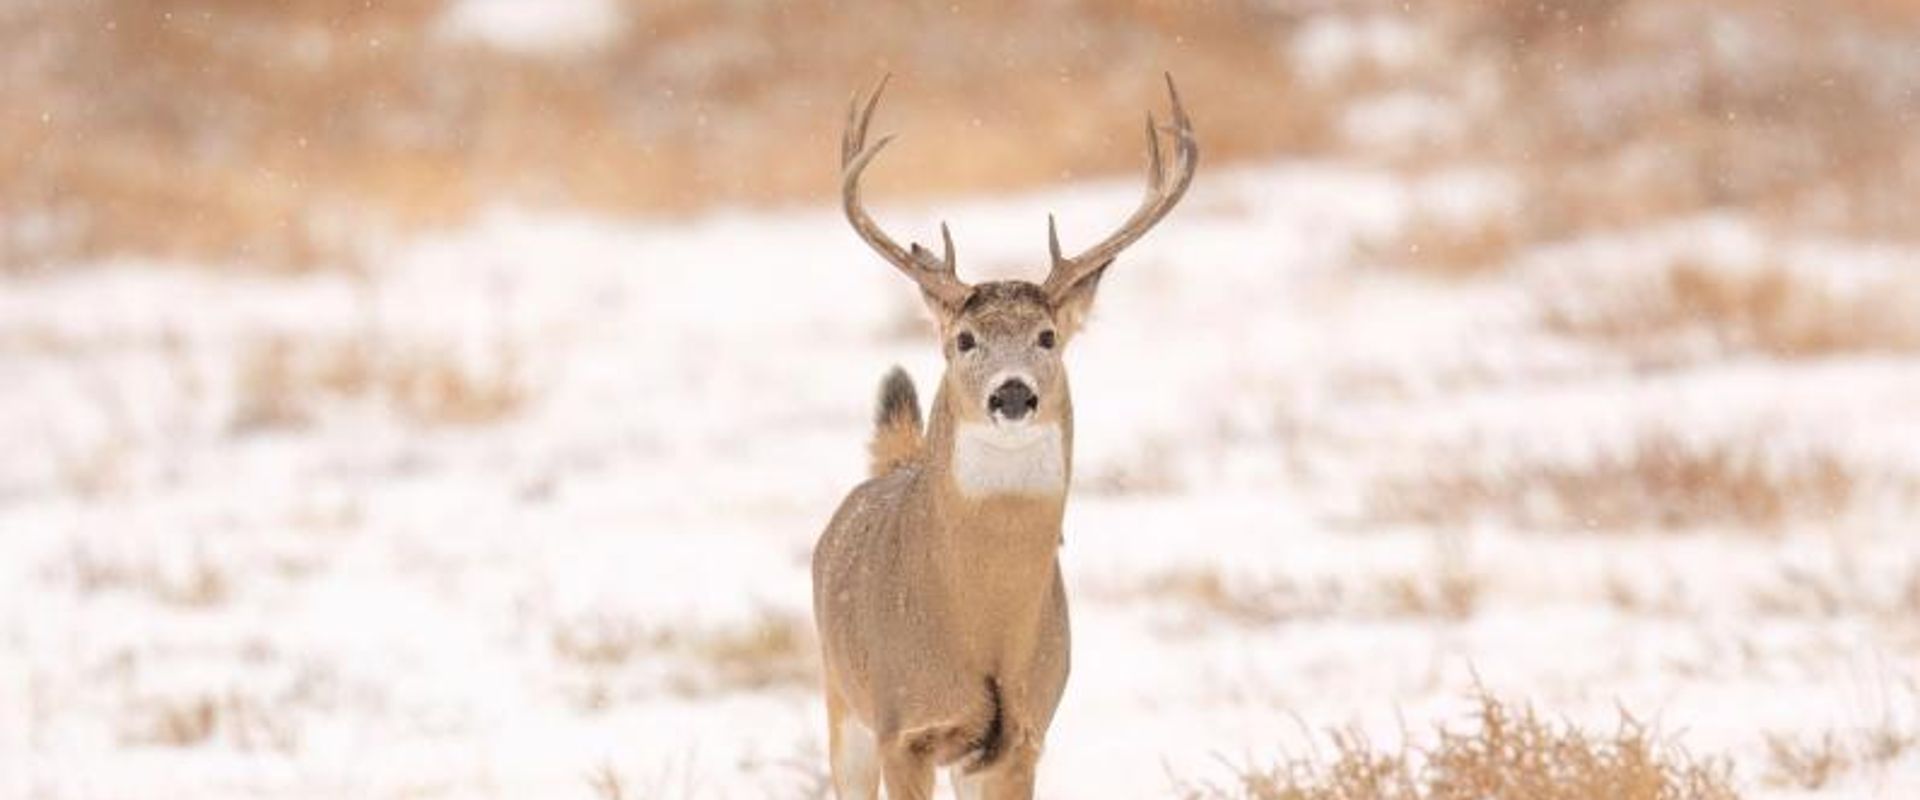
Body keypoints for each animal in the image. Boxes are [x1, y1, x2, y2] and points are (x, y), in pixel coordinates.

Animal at [810, 74, 1198, 800]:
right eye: (965, 340)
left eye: (1047, 337)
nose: (1012, 393)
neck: (981, 625)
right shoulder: (903, 726)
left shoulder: (1019, 737)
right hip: (842, 696)